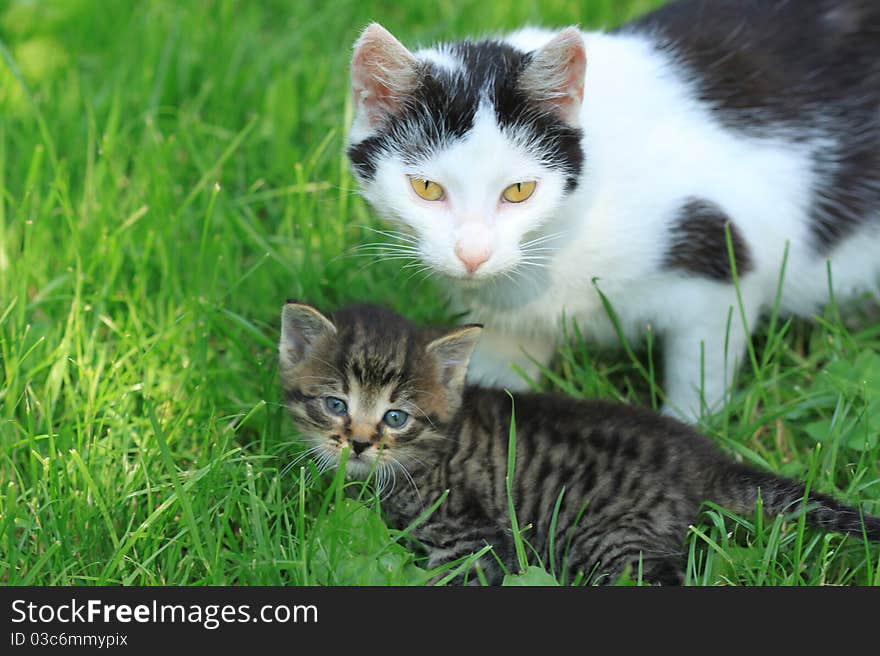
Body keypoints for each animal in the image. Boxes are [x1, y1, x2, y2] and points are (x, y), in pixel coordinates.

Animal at [280, 302, 880, 584]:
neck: (429, 454)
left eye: (396, 417)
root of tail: (706, 460)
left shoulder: (471, 535)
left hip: (613, 541)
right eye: (336, 405)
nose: (359, 443)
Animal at [346, 0, 880, 420]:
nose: (473, 254)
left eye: (519, 190)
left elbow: (701, 369)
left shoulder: (718, 259)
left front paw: (690, 432)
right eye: (426, 187)